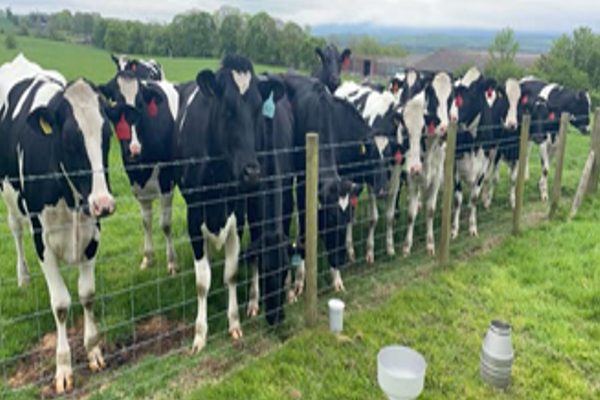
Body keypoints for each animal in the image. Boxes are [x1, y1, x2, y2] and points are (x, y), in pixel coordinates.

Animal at [0, 54, 116, 394]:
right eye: (70, 140)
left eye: (107, 136)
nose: (104, 203)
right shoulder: (43, 241)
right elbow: (61, 303)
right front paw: (63, 368)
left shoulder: (92, 234)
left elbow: (86, 293)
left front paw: (93, 350)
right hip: (9, 200)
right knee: (15, 230)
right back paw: (23, 278)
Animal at [99, 69, 179, 276]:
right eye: (116, 103)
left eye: (141, 104)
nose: (133, 150)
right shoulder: (137, 185)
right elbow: (146, 221)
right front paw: (147, 258)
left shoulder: (166, 181)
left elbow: (165, 224)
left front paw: (172, 262)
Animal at [175, 54, 284, 352]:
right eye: (227, 109)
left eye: (258, 110)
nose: (252, 171)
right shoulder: (193, 216)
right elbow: (202, 281)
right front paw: (200, 334)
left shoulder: (237, 214)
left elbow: (232, 273)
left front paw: (234, 322)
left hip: (256, 203)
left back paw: (254, 302)